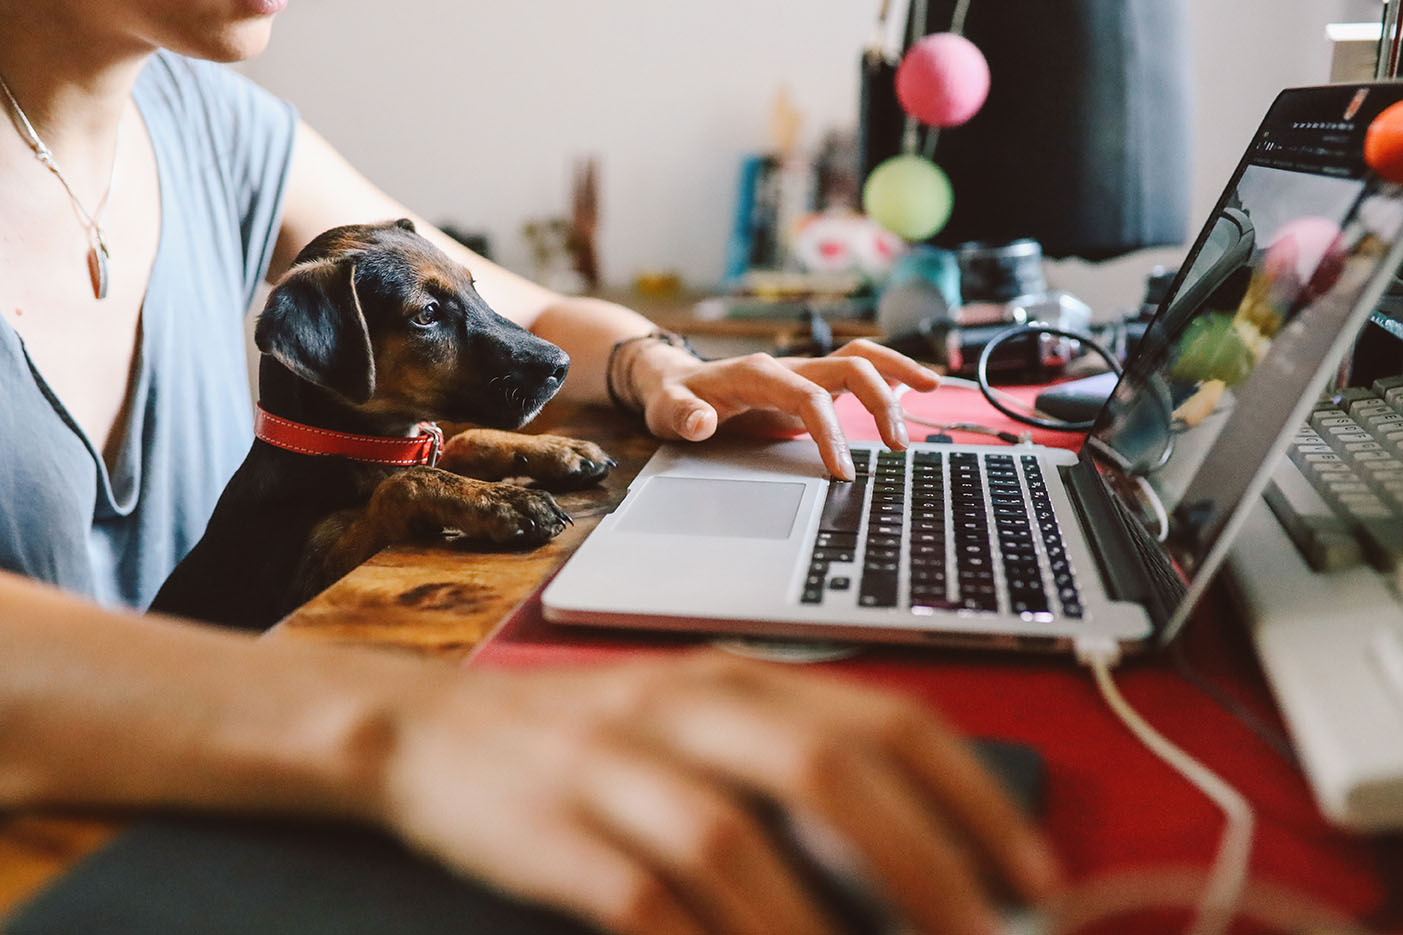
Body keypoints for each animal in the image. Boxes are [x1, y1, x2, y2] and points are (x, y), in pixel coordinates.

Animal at [152, 219, 614, 626]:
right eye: (427, 314)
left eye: (473, 286)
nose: (562, 365)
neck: (340, 444)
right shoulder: (301, 585)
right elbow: (404, 483)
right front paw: (502, 501)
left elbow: (463, 441)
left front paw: (560, 449)